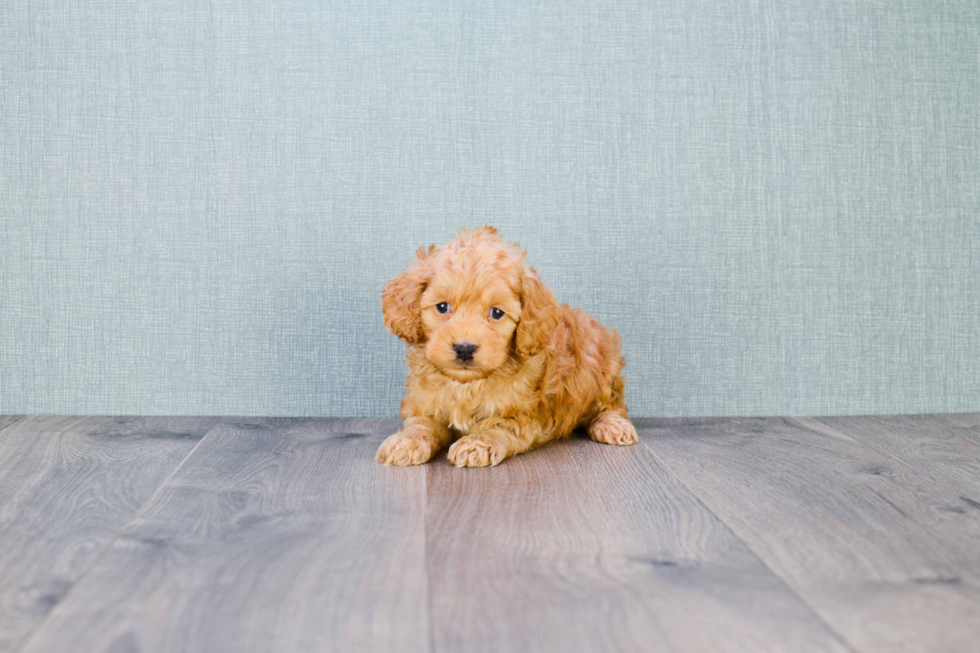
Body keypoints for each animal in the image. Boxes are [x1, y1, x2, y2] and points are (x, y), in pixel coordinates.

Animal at [374, 227, 636, 466]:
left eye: (497, 313)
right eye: (442, 307)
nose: (464, 348)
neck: (465, 385)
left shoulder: (521, 416)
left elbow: (496, 426)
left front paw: (475, 444)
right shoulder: (424, 405)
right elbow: (421, 424)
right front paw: (406, 442)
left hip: (601, 369)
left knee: (613, 405)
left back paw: (613, 425)